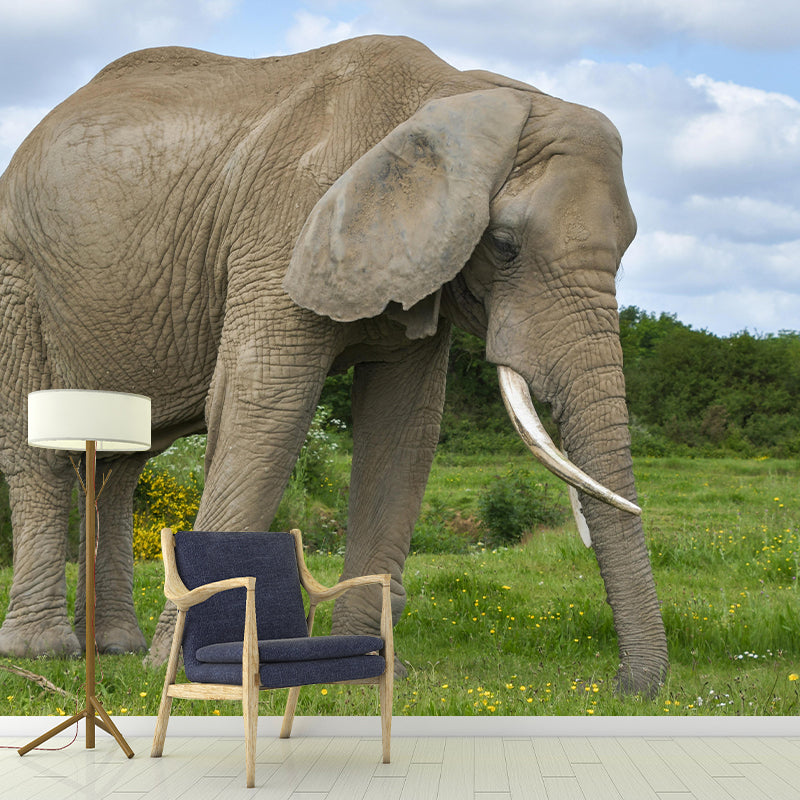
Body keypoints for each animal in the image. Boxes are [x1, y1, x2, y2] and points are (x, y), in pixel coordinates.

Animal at [0, 34, 668, 694]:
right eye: (503, 245)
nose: (625, 688)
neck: (457, 91)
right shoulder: (282, 226)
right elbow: (264, 403)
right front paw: (194, 667)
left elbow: (404, 426)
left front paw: (369, 672)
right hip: (18, 276)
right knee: (38, 452)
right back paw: (45, 652)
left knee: (121, 465)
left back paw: (115, 648)